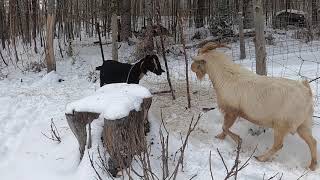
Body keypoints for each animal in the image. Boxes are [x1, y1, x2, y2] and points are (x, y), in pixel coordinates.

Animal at [191, 42, 316, 170]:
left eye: (197, 60)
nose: (191, 67)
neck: (227, 76)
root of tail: (306, 91)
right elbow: (224, 128)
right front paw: (219, 137)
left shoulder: (232, 111)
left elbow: (225, 127)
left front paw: (238, 140)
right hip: (303, 124)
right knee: (312, 142)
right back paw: (312, 166)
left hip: (282, 124)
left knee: (279, 145)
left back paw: (260, 158)